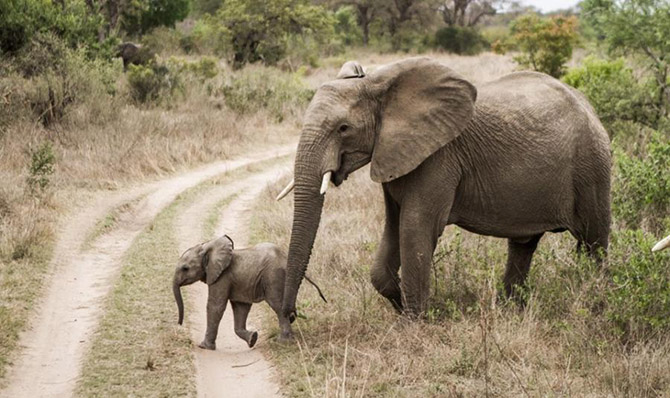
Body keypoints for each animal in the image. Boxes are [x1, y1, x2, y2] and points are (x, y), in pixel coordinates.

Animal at [172, 235, 326, 350]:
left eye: (185, 268)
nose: (179, 324)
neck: (208, 248)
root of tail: (285, 258)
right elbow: (241, 308)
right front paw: (253, 339)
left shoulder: (222, 277)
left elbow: (216, 306)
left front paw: (204, 347)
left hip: (273, 277)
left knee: (278, 305)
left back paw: (284, 341)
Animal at [278, 56, 616, 318]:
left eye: (343, 128)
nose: (290, 317)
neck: (379, 84)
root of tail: (588, 105)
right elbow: (392, 229)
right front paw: (399, 301)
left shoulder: (439, 157)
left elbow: (416, 227)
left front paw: (413, 323)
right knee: (523, 245)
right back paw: (513, 309)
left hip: (592, 166)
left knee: (593, 242)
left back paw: (594, 302)